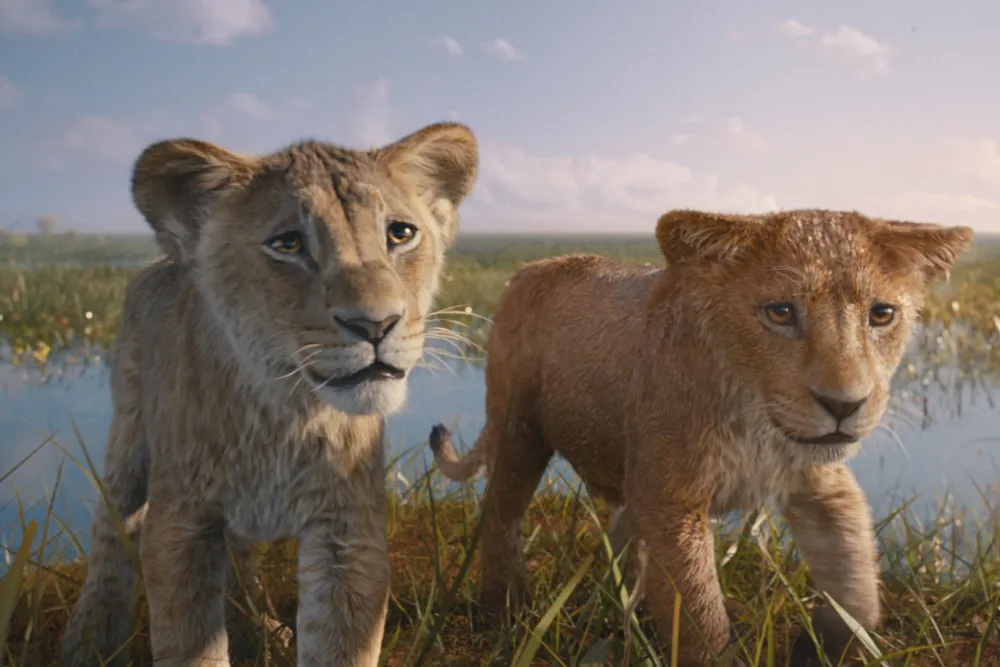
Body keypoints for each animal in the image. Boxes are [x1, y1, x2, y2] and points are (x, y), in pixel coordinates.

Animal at [60, 121, 479, 667]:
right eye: (288, 243)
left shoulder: (348, 532)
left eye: (400, 233)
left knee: (238, 555)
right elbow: (189, 644)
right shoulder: (181, 525)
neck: (286, 412)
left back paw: (257, 629)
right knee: (112, 529)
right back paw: (87, 640)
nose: (376, 325)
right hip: (128, 434)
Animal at [429, 208, 973, 666]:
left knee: (623, 535)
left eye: (881, 315)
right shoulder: (673, 499)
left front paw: (824, 645)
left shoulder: (819, 483)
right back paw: (503, 614)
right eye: (780, 312)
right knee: (500, 517)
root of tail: (529, 268)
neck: (756, 420)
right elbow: (700, 614)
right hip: (518, 430)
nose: (844, 406)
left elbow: (857, 582)